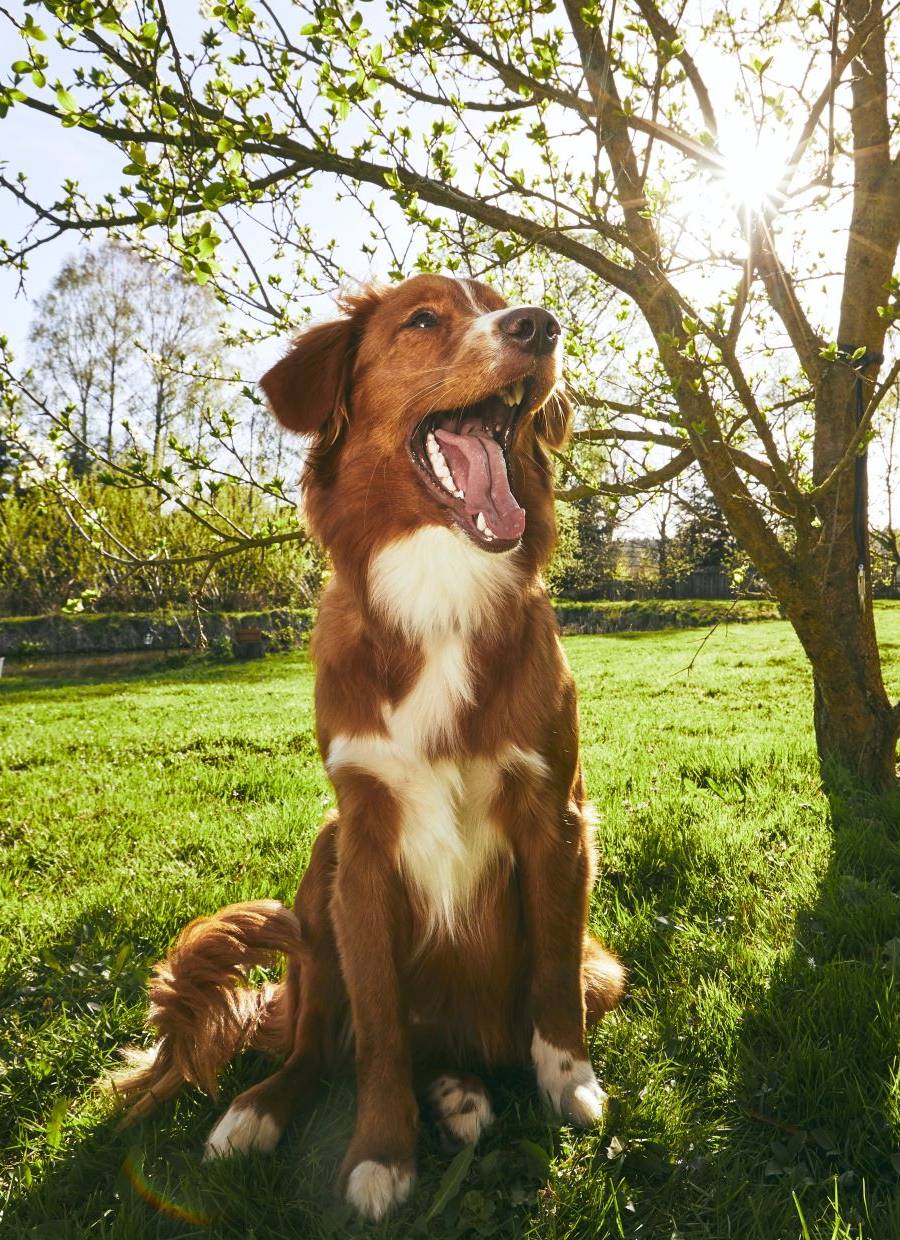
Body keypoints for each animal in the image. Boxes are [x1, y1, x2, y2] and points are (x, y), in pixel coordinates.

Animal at [114, 274, 627, 1220]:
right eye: (423, 319)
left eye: (499, 300)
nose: (541, 326)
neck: (439, 583)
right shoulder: (363, 840)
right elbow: (380, 1031)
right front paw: (383, 1154)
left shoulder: (559, 818)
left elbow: (551, 982)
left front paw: (568, 1082)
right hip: (320, 880)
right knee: (321, 1045)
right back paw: (261, 1110)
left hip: (596, 964)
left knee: (494, 1026)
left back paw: (462, 1092)